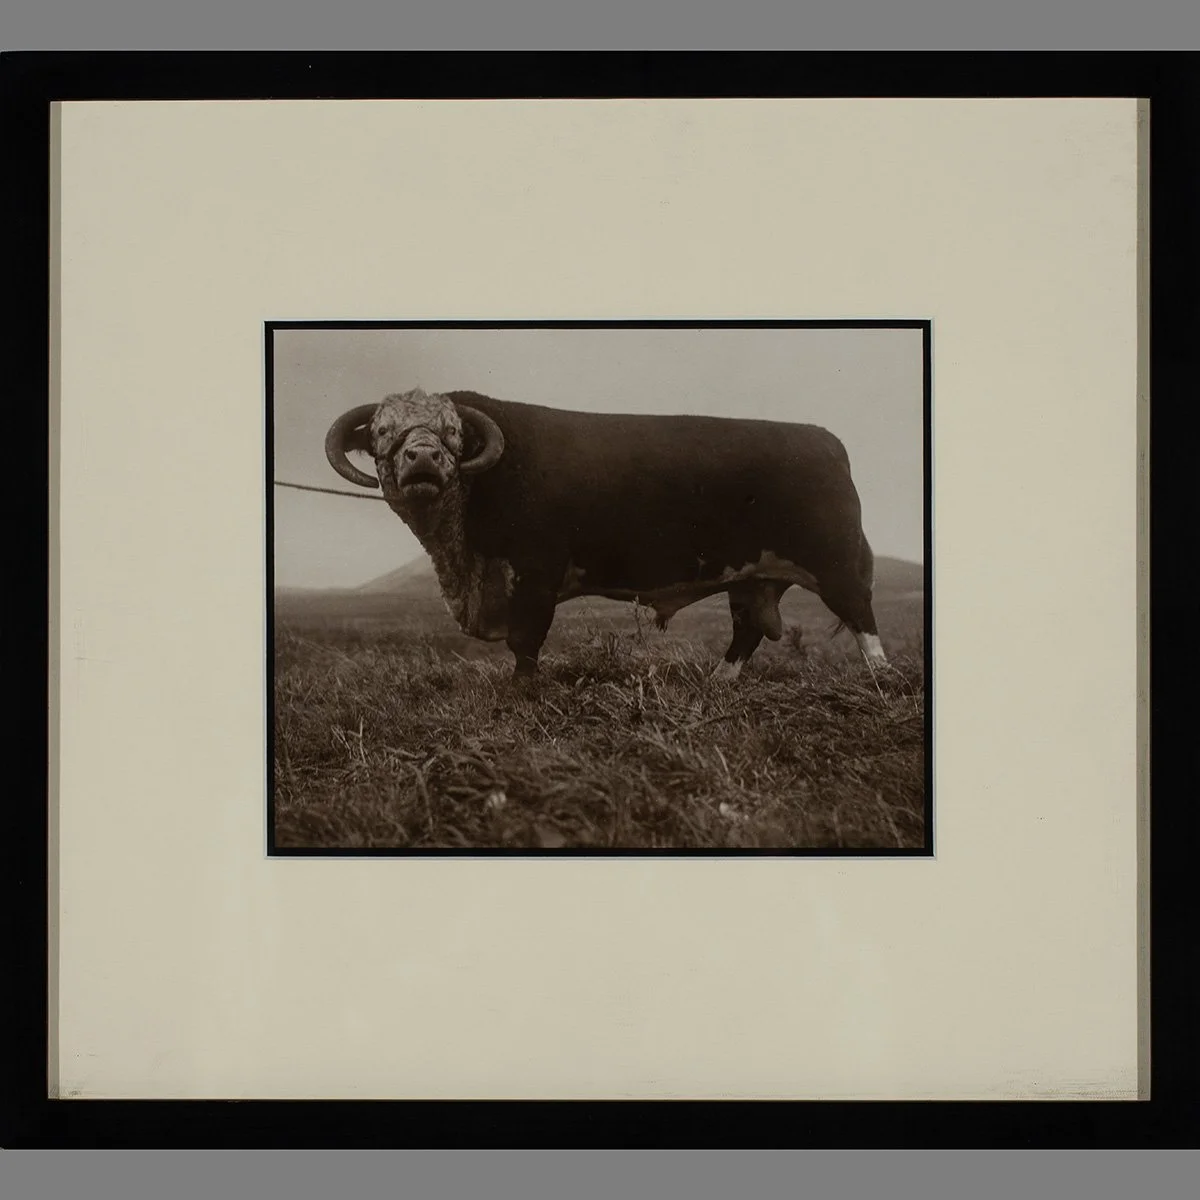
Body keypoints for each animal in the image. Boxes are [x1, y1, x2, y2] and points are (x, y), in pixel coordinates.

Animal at [324, 388, 888, 681]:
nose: (422, 456)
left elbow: (526, 643)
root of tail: (822, 439)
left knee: (863, 622)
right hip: (750, 577)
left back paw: (881, 682)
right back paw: (717, 685)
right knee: (746, 632)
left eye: (453, 432)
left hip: (835, 564)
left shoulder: (537, 572)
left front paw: (522, 695)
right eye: (381, 430)